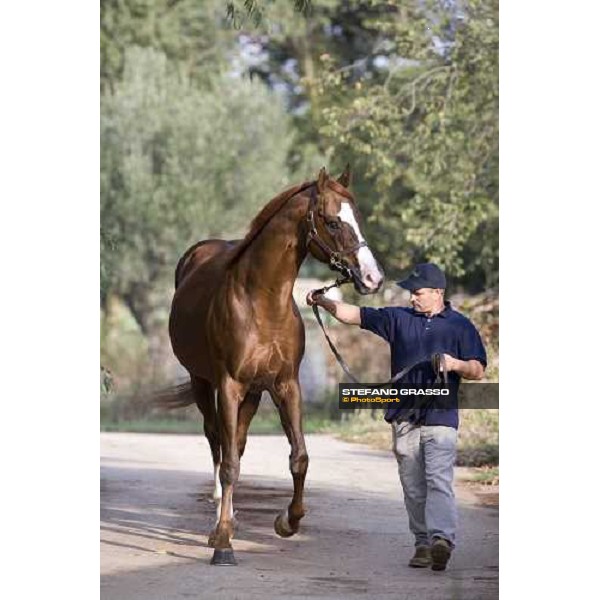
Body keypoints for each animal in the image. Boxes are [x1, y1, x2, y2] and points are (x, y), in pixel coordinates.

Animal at [164, 166, 382, 564]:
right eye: (332, 222)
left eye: (357, 218)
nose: (374, 279)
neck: (261, 302)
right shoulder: (229, 385)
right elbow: (229, 464)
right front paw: (223, 542)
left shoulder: (285, 386)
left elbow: (300, 457)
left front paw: (288, 521)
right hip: (204, 383)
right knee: (218, 443)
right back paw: (220, 520)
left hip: (253, 393)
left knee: (237, 443)